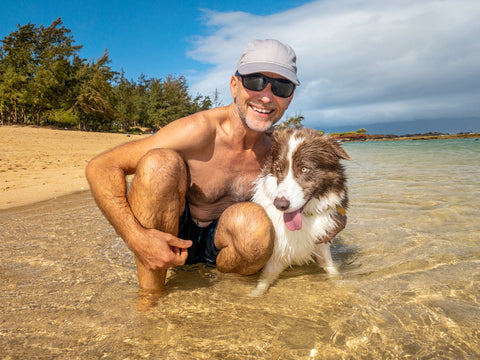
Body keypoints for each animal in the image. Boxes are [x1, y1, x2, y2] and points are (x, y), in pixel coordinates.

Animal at [251, 127, 348, 296]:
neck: (305, 216)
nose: (280, 204)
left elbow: (332, 269)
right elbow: (264, 280)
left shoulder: (322, 244)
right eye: (278, 169)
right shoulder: (277, 254)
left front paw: (341, 286)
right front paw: (254, 295)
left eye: (304, 169)